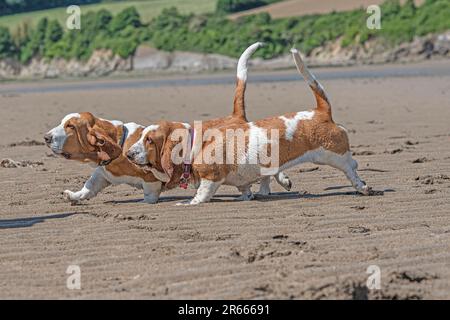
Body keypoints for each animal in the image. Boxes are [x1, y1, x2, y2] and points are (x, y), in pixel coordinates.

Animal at [125, 48, 370, 206]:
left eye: (149, 140)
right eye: (141, 136)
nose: (127, 154)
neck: (193, 143)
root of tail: (321, 111)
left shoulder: (210, 178)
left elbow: (202, 194)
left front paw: (189, 203)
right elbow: (245, 187)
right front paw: (247, 196)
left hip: (332, 155)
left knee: (351, 167)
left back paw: (362, 187)